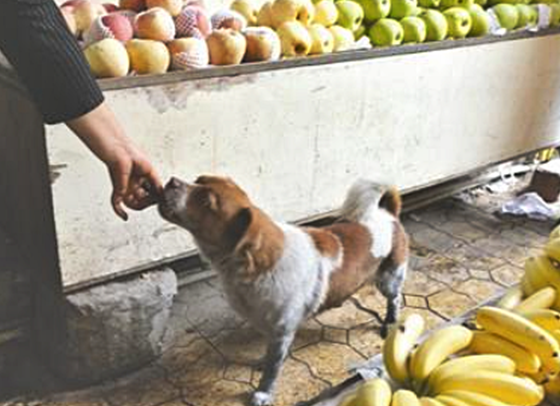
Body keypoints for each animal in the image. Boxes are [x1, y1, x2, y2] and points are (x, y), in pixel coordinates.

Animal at [158, 175, 406, 406]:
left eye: (206, 202)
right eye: (199, 179)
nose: (171, 181)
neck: (256, 266)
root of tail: (388, 214)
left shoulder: (281, 331)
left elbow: (272, 369)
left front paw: (263, 393)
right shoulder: (272, 328)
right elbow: (271, 357)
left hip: (389, 279)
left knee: (394, 300)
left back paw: (389, 323)